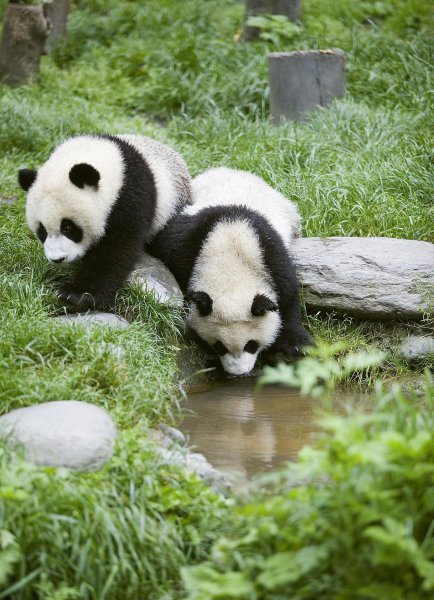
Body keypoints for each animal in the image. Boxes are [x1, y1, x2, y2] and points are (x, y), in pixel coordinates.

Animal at [18, 133, 192, 308]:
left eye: (68, 227)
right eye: (42, 231)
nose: (57, 259)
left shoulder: (131, 195)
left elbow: (117, 249)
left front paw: (77, 294)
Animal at [148, 166, 312, 376]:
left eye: (251, 345)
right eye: (220, 346)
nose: (238, 373)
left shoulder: (270, 251)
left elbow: (288, 294)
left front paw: (295, 344)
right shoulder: (184, 244)